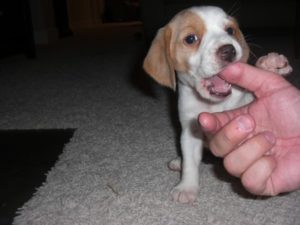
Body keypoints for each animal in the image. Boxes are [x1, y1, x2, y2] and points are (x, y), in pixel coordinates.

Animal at [143, 5, 292, 204]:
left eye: (230, 31)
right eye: (191, 39)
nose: (229, 50)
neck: (212, 104)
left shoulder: (245, 103)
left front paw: (270, 65)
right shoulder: (190, 132)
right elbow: (190, 163)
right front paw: (186, 187)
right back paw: (178, 162)